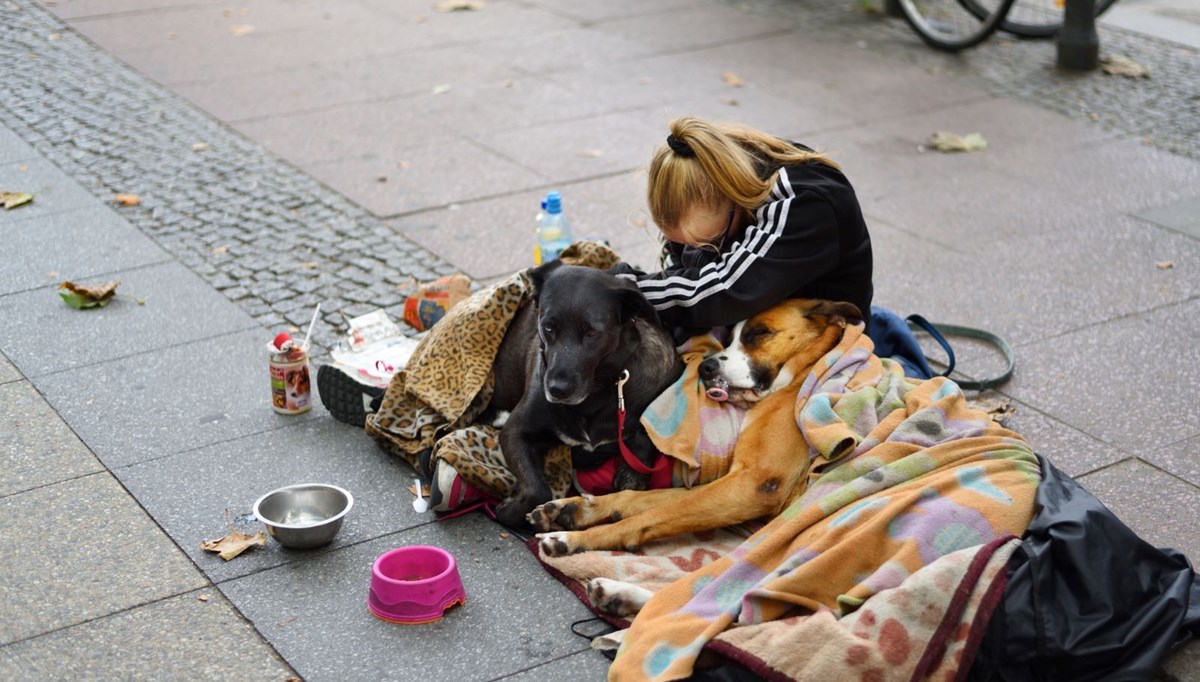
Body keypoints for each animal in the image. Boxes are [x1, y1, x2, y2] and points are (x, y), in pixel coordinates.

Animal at [482, 260, 681, 528]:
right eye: (548, 326)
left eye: (591, 332)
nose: (556, 389)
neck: (597, 393)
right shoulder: (515, 431)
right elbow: (537, 490)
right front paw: (510, 511)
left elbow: (629, 484)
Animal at [530, 297, 859, 612]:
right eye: (729, 338)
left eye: (759, 333)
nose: (706, 368)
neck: (804, 368)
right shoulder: (732, 482)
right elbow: (648, 500)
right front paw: (578, 509)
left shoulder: (754, 484)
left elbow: (652, 515)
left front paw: (576, 539)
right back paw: (619, 595)